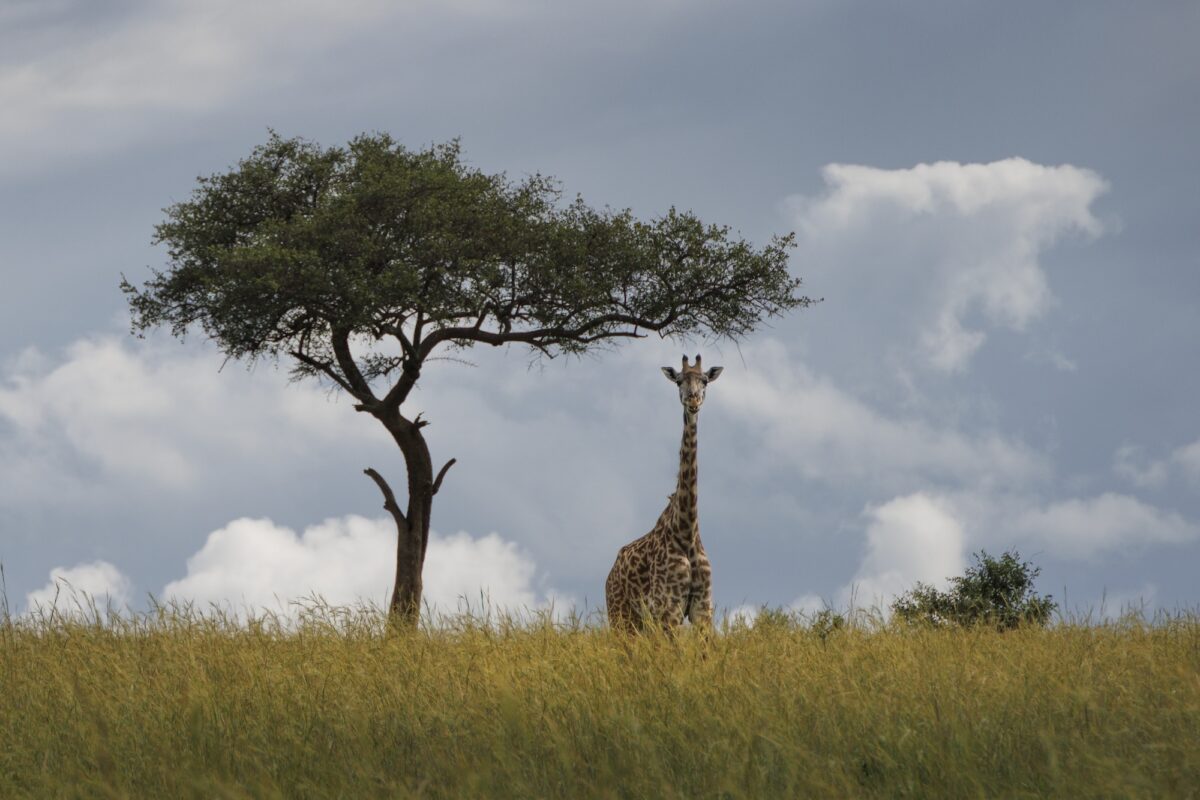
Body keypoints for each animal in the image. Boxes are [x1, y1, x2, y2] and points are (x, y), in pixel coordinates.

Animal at [606, 354, 723, 633]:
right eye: (679, 380)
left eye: (704, 380)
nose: (693, 400)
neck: (687, 531)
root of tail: (609, 575)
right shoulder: (668, 609)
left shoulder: (703, 609)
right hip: (621, 617)